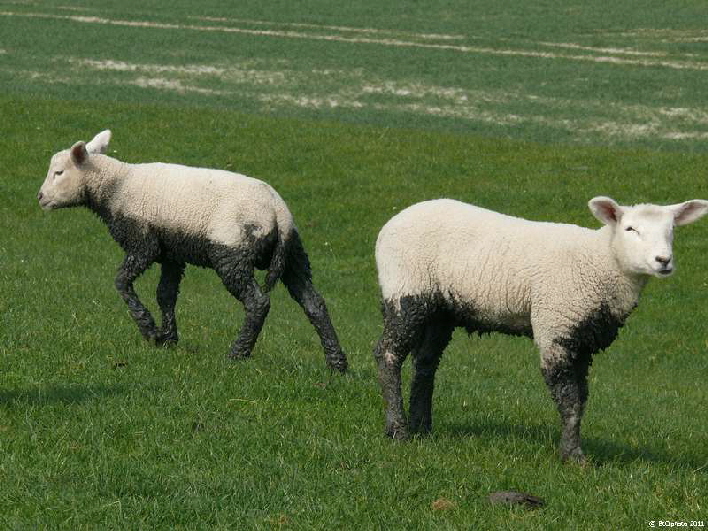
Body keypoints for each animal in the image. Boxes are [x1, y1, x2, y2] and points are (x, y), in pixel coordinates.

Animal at [37, 130, 348, 372]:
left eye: (59, 173)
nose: (40, 197)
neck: (116, 187)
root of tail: (278, 212)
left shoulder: (144, 241)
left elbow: (122, 281)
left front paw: (149, 329)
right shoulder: (172, 253)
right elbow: (165, 294)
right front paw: (167, 339)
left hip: (231, 252)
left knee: (258, 302)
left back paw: (237, 354)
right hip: (294, 254)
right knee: (314, 302)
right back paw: (337, 365)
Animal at [374, 195, 704, 462]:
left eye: (672, 230)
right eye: (630, 229)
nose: (663, 261)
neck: (600, 263)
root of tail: (392, 222)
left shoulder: (582, 337)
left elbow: (581, 398)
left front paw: (571, 448)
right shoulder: (556, 325)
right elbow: (569, 398)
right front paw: (573, 457)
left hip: (441, 309)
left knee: (425, 363)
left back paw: (422, 428)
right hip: (406, 290)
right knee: (387, 354)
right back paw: (398, 430)